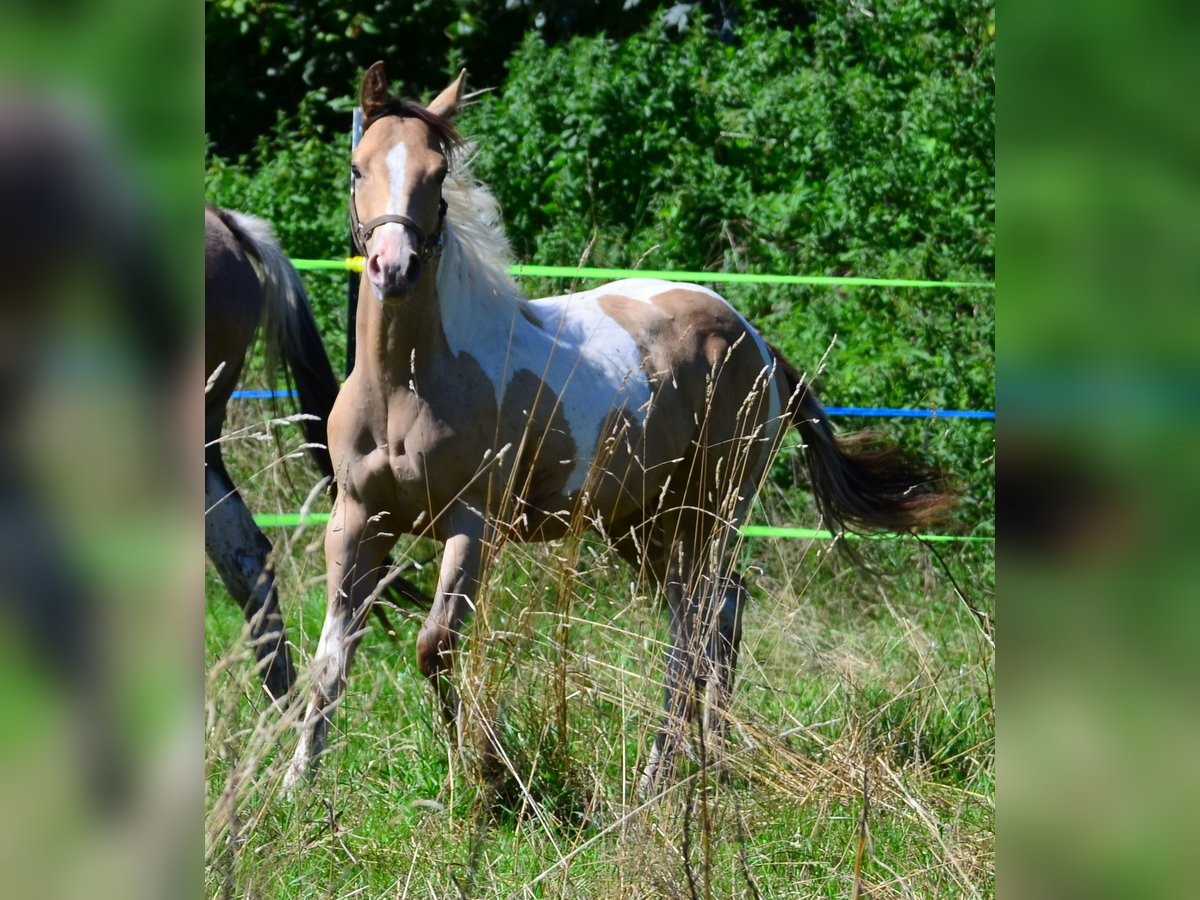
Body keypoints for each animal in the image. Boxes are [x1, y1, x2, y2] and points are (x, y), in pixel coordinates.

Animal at [284, 62, 952, 793]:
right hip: (644, 523)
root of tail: (757, 343)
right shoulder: (357, 520)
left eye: (437, 174)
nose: (393, 267)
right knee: (711, 615)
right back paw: (700, 760)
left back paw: (671, 770)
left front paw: (474, 768)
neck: (407, 388)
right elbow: (329, 661)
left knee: (704, 623)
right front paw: (296, 786)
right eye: (357, 167)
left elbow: (435, 646)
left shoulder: (472, 522)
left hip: (712, 509)